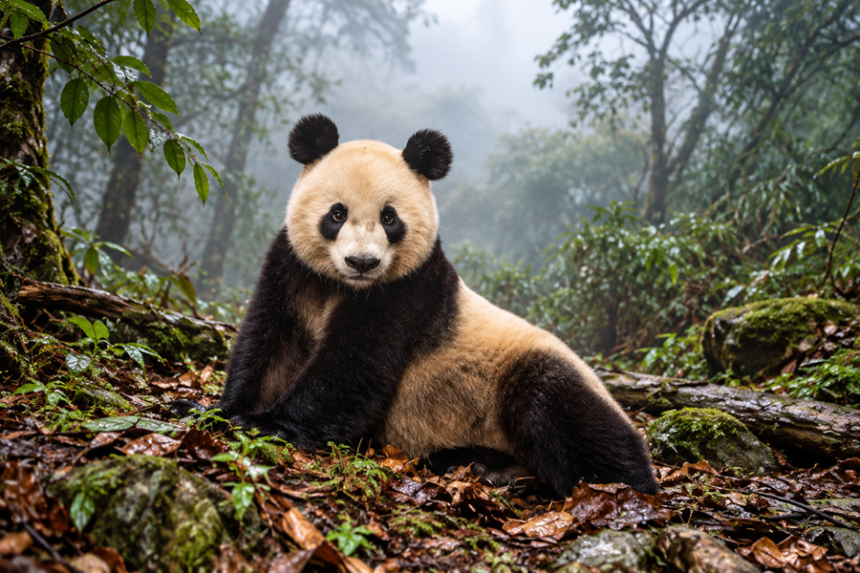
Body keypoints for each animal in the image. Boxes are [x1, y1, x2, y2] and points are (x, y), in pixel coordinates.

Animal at [188, 114, 658, 498]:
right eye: (337, 214)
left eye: (389, 217)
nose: (362, 262)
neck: (343, 286)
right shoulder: (292, 269)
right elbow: (269, 346)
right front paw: (215, 410)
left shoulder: (407, 290)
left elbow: (352, 368)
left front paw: (266, 424)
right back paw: (485, 467)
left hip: (531, 371)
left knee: (564, 414)